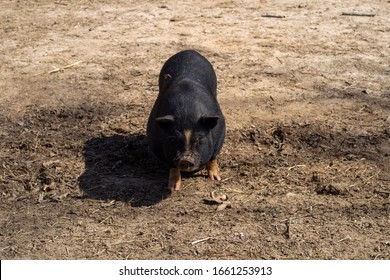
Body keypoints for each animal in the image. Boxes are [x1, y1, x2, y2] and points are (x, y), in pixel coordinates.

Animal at [146, 50, 225, 190]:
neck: (187, 112)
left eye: (199, 140)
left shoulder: (220, 132)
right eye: (172, 139)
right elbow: (172, 165)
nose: (185, 159)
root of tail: (189, 51)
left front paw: (216, 179)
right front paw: (173, 188)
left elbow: (213, 157)